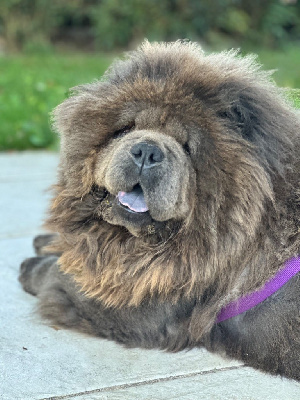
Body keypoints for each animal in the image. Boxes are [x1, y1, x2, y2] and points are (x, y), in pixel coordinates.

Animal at [19, 41, 300, 382]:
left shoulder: (140, 305)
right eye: (126, 128)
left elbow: (63, 277)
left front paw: (33, 267)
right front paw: (49, 243)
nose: (147, 151)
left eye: (188, 147)